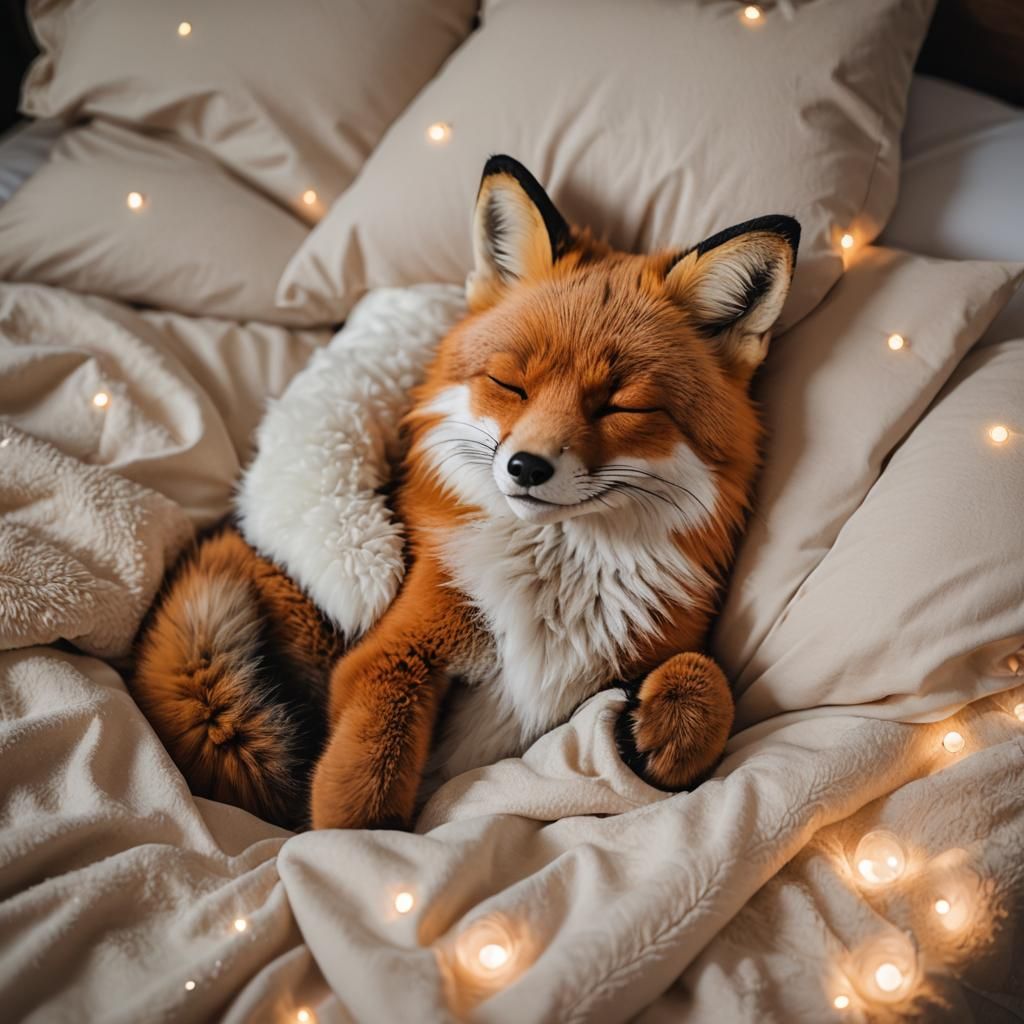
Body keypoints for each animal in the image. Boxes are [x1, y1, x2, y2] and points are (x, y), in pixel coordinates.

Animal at [131, 155, 799, 832]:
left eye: (621, 406)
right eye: (511, 384)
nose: (526, 467)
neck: (554, 583)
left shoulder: (656, 650)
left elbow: (711, 678)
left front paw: (663, 733)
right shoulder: (395, 650)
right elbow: (360, 794)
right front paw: (355, 850)